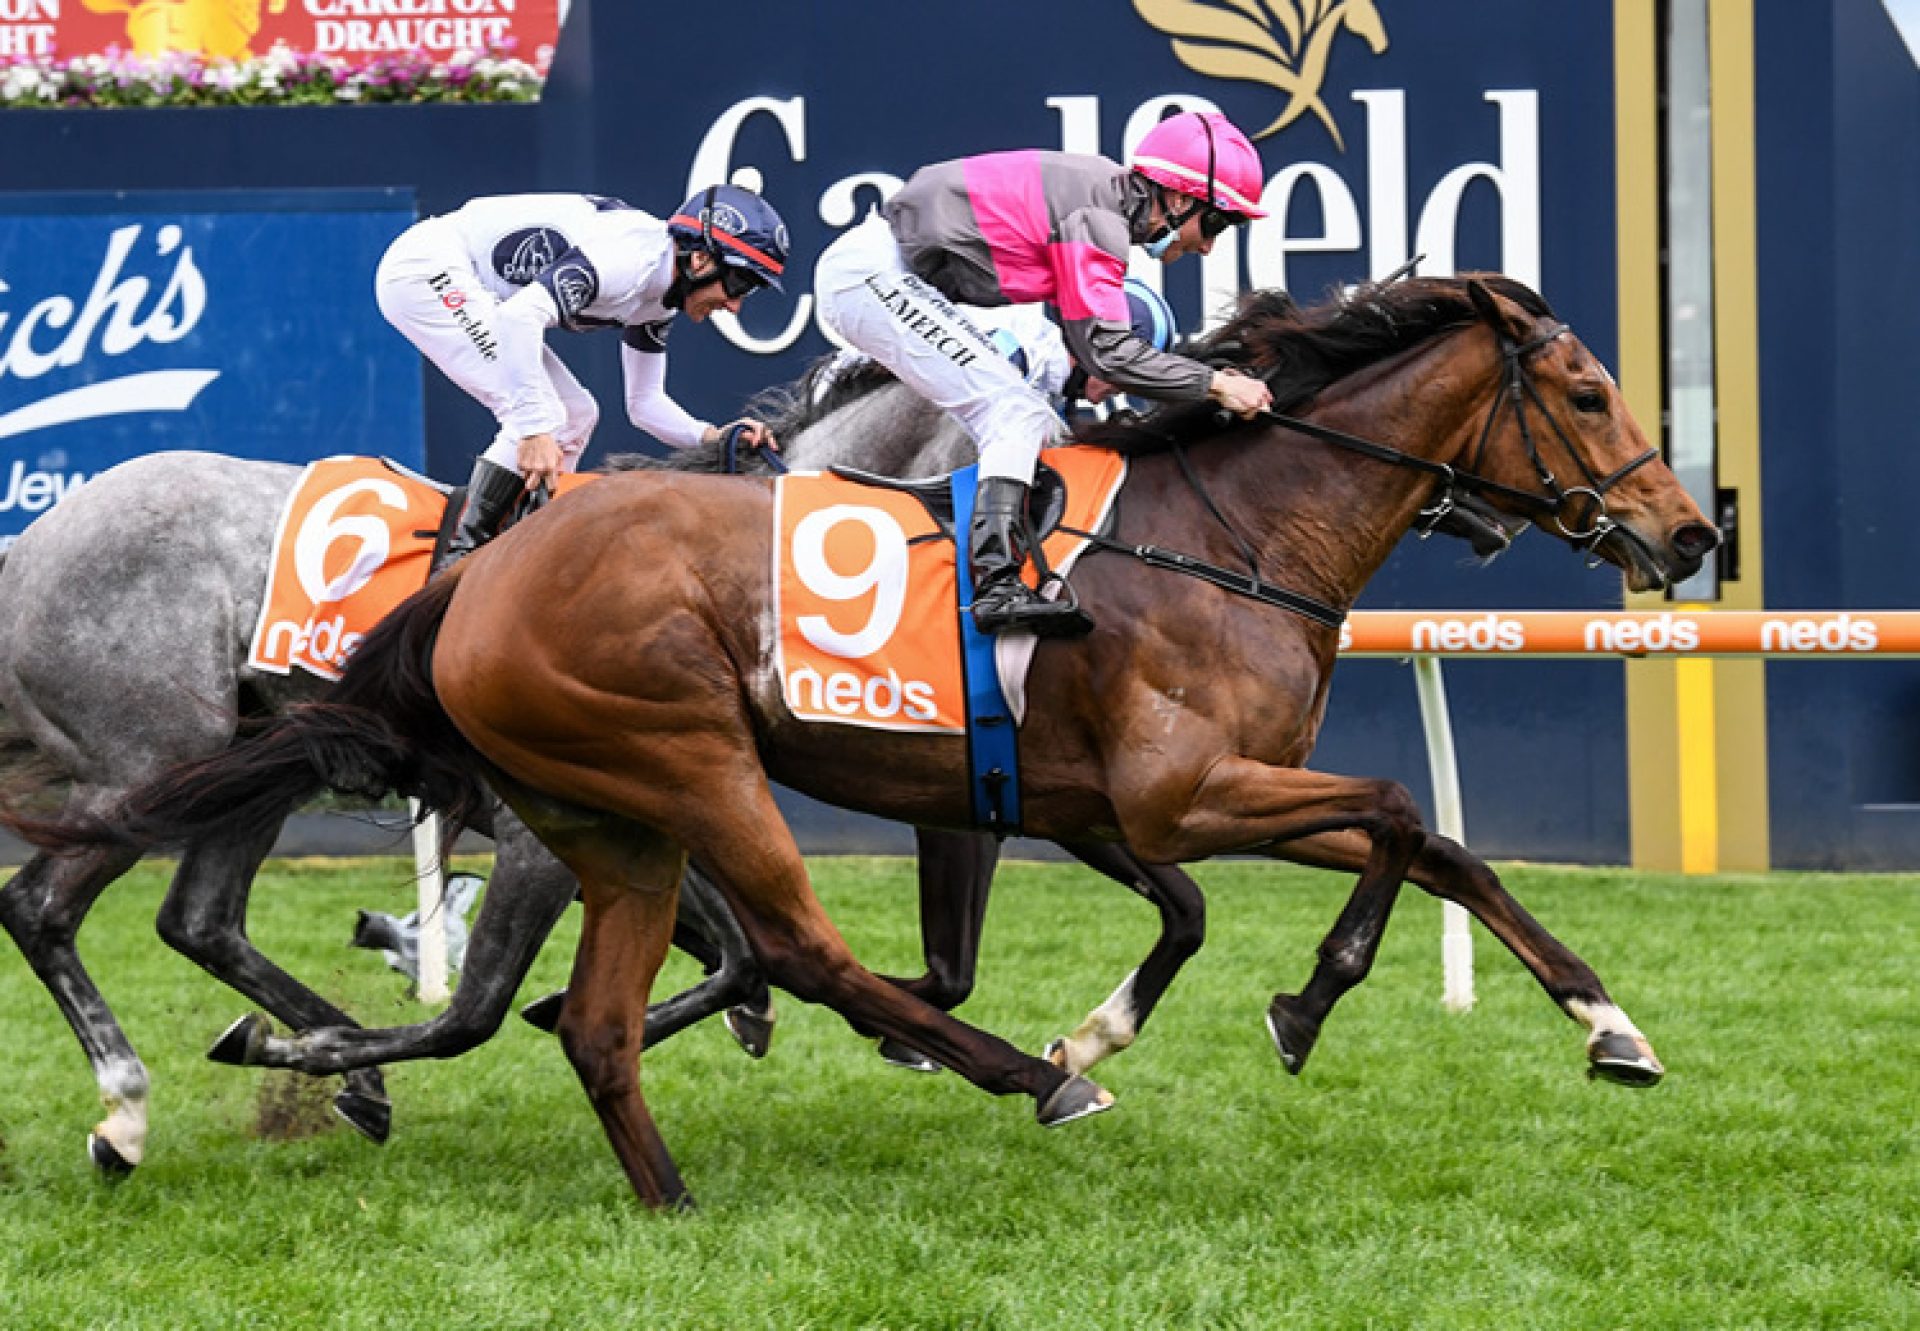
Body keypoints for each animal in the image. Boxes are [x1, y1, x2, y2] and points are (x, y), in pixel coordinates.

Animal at [7, 274, 1720, 1206]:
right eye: (1584, 389)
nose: (1688, 530)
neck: (1223, 536)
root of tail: (35, 545)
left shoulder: (1068, 799)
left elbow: (1417, 842)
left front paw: (1609, 1022)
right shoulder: (1177, 791)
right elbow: (1391, 813)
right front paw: (1296, 1001)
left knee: (209, 918)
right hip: (536, 763)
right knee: (66, 900)